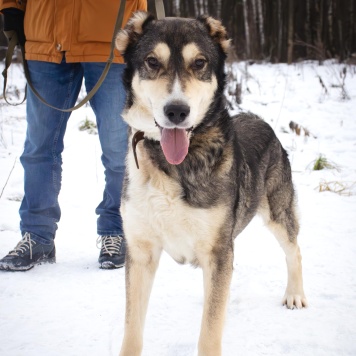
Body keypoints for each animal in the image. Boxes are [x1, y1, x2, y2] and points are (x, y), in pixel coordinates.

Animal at [115, 11, 308, 356]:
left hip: (277, 211)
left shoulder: (218, 251)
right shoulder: (140, 250)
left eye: (199, 63)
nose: (177, 111)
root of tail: (259, 119)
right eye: (152, 61)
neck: (171, 166)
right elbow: (132, 331)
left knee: (294, 250)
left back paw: (295, 294)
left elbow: (209, 331)